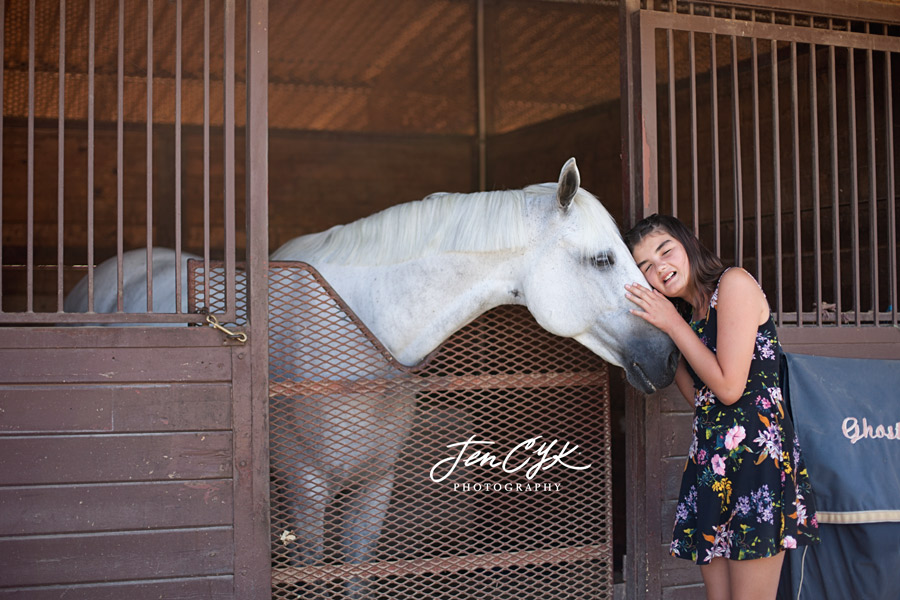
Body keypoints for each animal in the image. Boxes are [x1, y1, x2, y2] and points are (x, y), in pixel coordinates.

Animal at [67, 156, 680, 592]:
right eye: (603, 259)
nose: (669, 356)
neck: (361, 329)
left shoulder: (373, 486)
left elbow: (359, 573)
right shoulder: (307, 486)